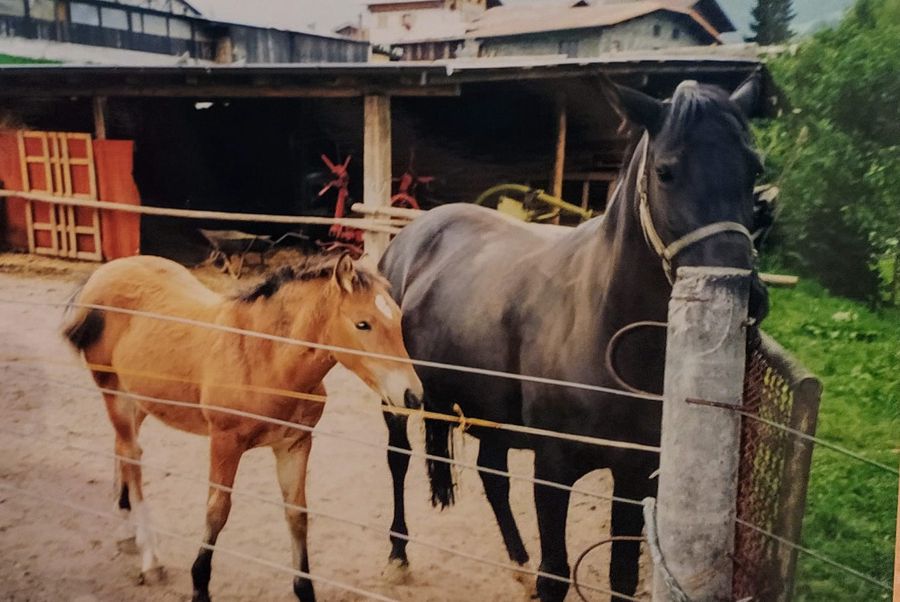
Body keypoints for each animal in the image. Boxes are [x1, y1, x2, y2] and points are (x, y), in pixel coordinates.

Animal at [62, 253, 423, 602]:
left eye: (399, 318)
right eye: (363, 323)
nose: (412, 395)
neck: (263, 357)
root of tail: (102, 274)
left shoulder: (294, 444)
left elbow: (297, 515)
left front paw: (304, 589)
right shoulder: (225, 442)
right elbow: (217, 511)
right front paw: (200, 586)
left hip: (139, 399)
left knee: (122, 450)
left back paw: (126, 529)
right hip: (115, 395)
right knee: (132, 457)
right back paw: (150, 559)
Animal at [377, 75, 769, 601]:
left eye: (754, 169)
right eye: (666, 171)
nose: (745, 296)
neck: (603, 329)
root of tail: (410, 236)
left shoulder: (635, 474)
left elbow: (622, 577)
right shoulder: (554, 470)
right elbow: (556, 575)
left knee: (492, 474)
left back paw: (517, 561)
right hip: (396, 399)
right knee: (398, 460)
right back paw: (398, 553)